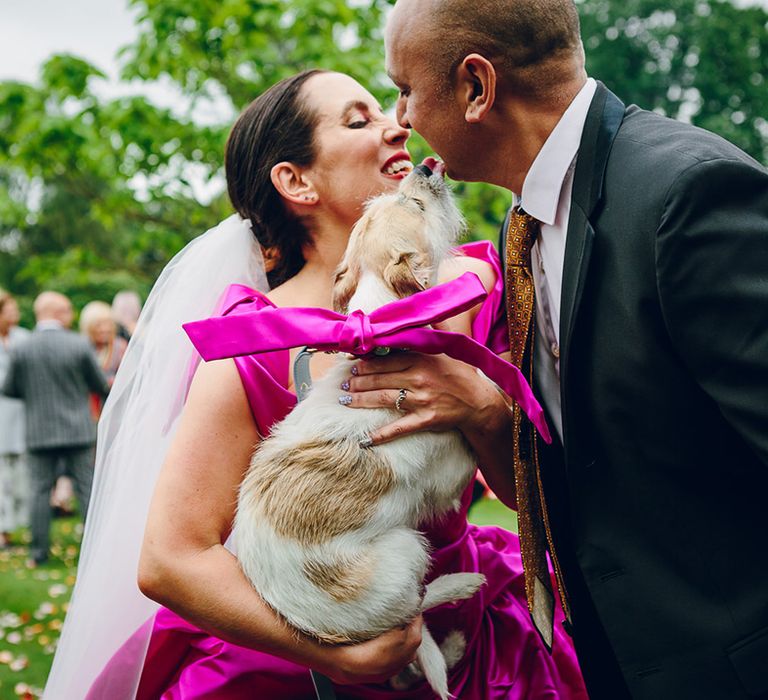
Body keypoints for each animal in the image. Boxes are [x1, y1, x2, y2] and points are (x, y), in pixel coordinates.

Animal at [237, 160, 484, 700]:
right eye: (414, 204)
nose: (425, 164)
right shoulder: (454, 466)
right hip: (407, 551)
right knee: (414, 612)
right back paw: (459, 595)